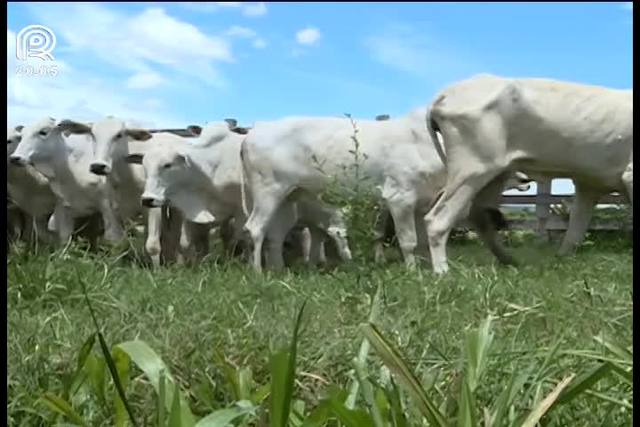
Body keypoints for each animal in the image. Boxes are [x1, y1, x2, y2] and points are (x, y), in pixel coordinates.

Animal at [424, 73, 632, 274]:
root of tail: (444, 95)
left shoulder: (589, 186)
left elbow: (574, 233)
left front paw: (561, 262)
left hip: (494, 176)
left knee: (479, 217)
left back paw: (510, 261)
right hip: (471, 170)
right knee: (437, 219)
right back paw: (443, 273)